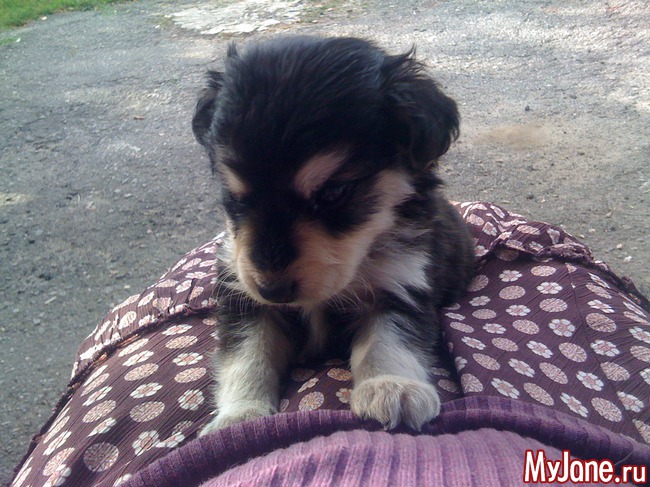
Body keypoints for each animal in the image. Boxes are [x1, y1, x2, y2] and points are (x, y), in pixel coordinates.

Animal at [192, 36, 475, 435]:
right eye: (235, 197)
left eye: (333, 193)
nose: (273, 290)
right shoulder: (243, 298)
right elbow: (247, 357)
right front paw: (239, 417)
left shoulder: (401, 285)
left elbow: (388, 341)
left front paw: (392, 387)